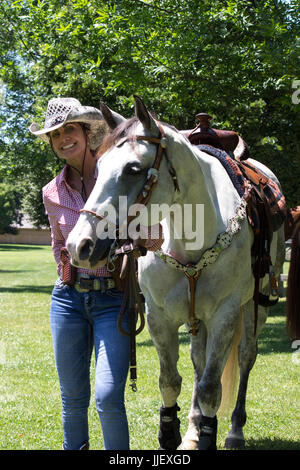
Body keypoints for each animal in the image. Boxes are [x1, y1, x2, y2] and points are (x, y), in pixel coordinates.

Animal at [66, 96, 286, 452]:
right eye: (97, 169)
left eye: (133, 169)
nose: (78, 245)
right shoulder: (160, 317)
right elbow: (170, 381)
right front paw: (177, 432)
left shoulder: (224, 315)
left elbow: (210, 387)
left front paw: (209, 433)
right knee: (198, 361)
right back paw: (194, 431)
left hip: (256, 309)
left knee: (245, 358)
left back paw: (234, 430)